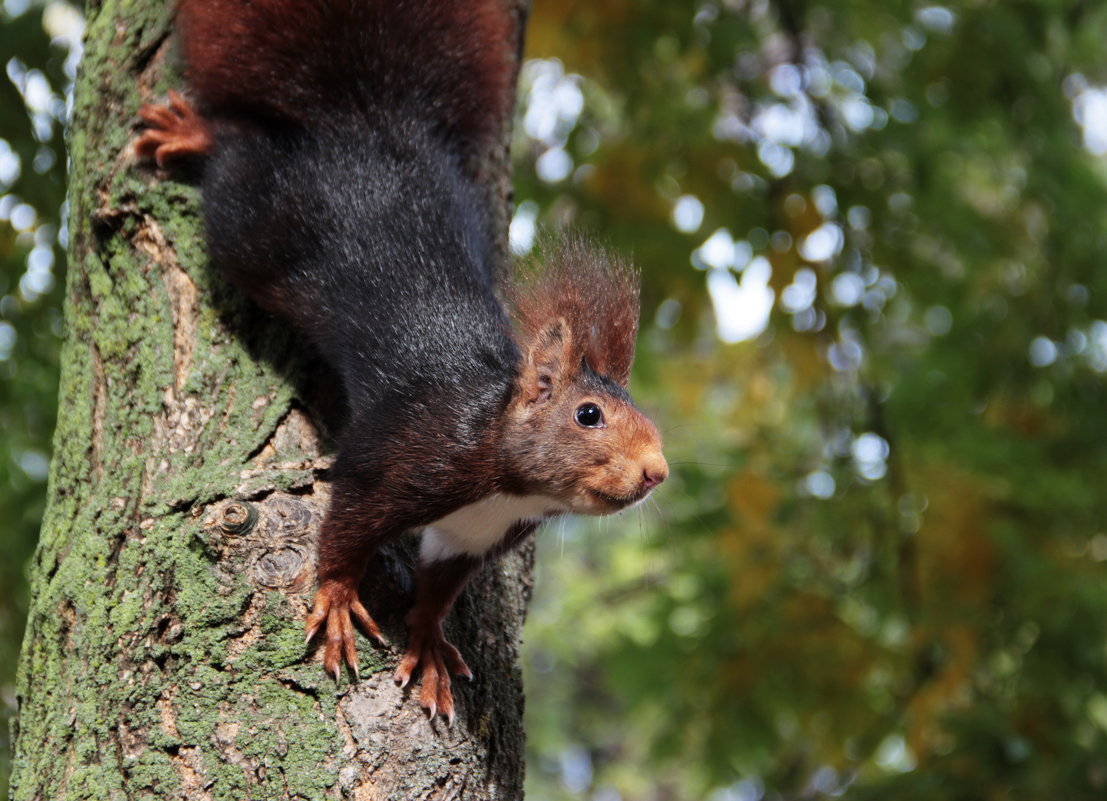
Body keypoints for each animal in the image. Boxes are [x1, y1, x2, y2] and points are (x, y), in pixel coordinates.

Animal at [133, 0, 668, 721]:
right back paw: (189, 131)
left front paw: (431, 644)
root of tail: (364, 121)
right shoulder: (399, 456)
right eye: (589, 415)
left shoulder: (473, 535)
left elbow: (438, 588)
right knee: (235, 156)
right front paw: (335, 601)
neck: (504, 474)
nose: (656, 472)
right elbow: (345, 529)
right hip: (252, 227)